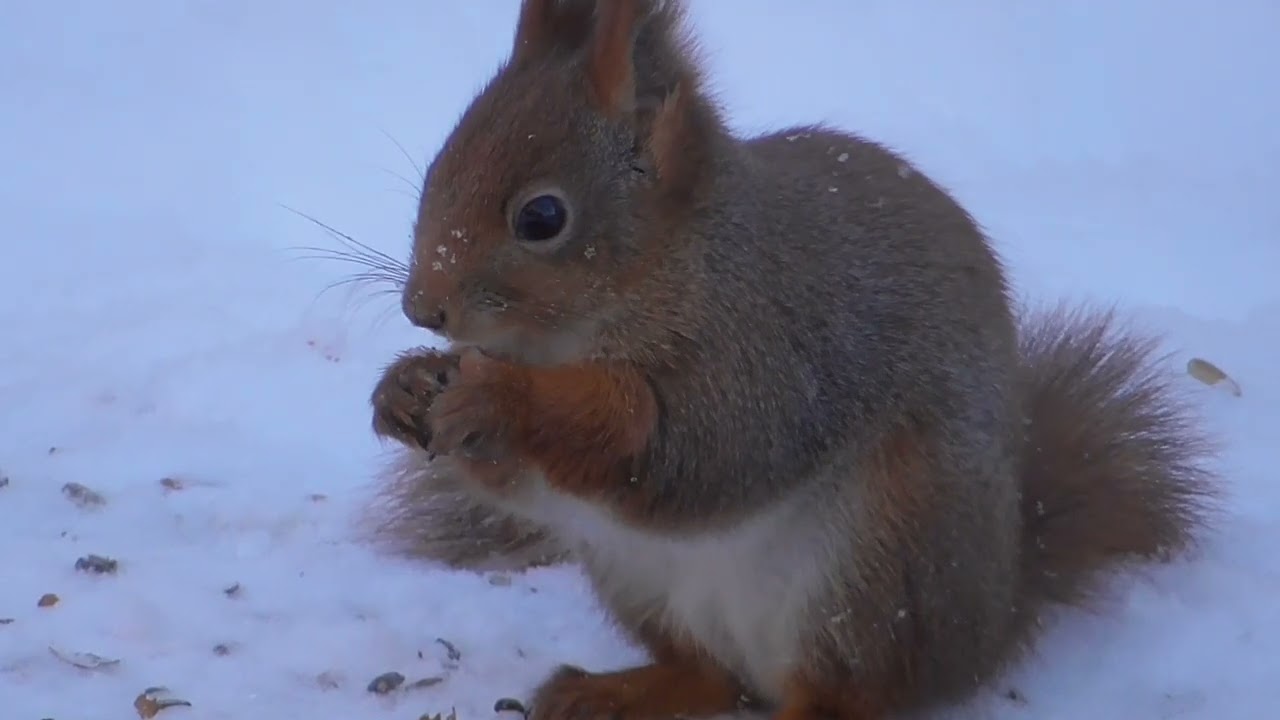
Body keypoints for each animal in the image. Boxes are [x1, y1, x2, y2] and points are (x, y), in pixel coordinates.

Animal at [365, 1, 1219, 718]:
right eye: (439, 167)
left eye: (542, 217)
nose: (422, 309)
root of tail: (994, 616)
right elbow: (523, 484)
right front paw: (404, 388)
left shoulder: (772, 344)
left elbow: (684, 442)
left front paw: (504, 399)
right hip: (636, 577)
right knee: (708, 675)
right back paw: (613, 692)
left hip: (878, 563)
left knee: (847, 695)